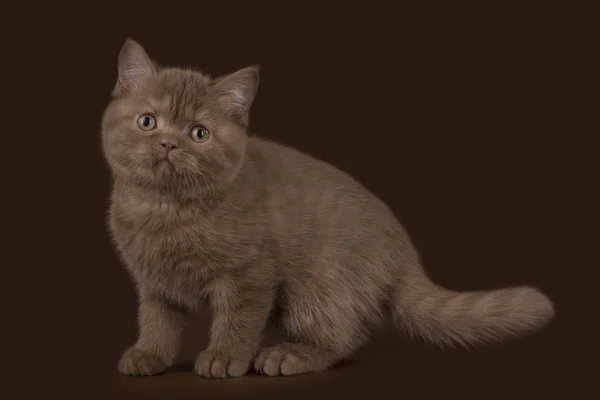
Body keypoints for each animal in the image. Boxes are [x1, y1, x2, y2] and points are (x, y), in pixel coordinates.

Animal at [102, 38, 552, 378]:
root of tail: (403, 249)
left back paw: (289, 354)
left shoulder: (250, 276)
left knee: (340, 336)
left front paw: (225, 358)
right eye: (147, 121)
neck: (164, 209)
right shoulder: (154, 282)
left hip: (318, 284)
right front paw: (150, 355)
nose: (168, 144)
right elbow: (157, 320)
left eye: (199, 133)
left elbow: (238, 319)